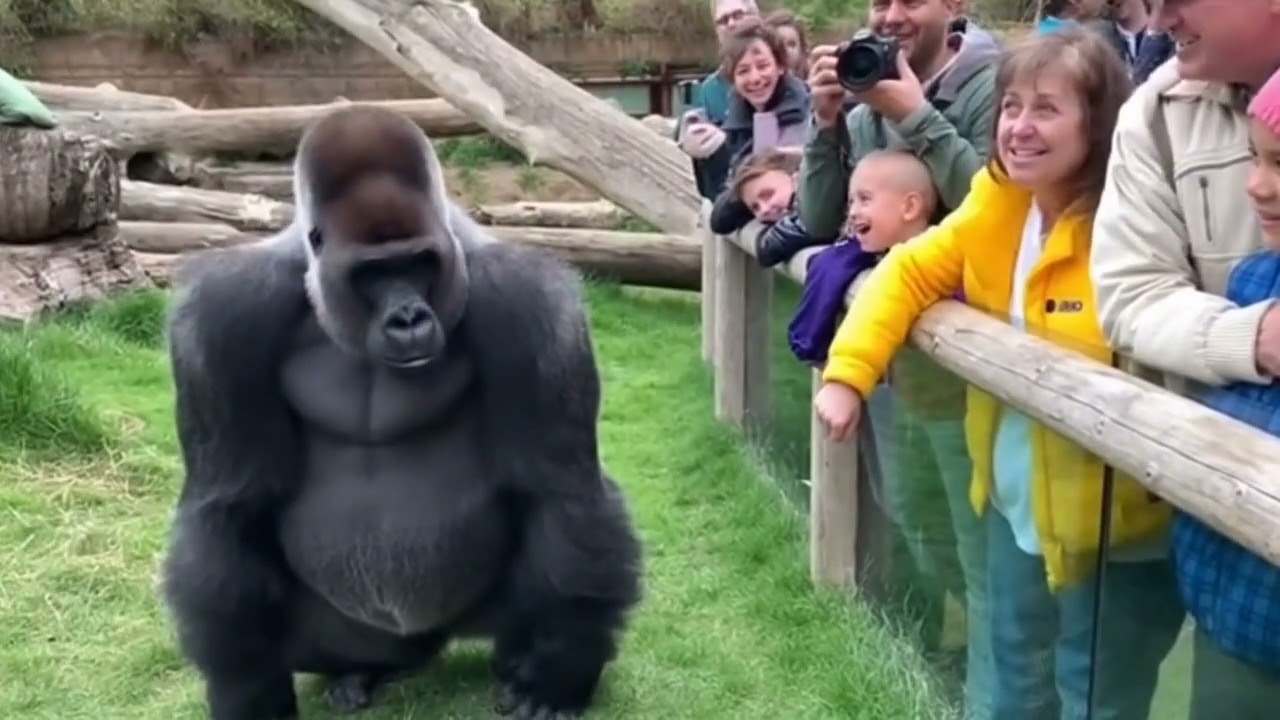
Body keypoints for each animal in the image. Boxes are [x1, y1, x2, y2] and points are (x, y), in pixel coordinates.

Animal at [159, 104, 644, 720]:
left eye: (418, 263)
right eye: (372, 272)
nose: (408, 319)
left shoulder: (530, 300)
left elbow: (561, 489)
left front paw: (561, 670)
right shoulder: (223, 314)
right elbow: (227, 507)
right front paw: (246, 689)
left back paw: (524, 658)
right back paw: (357, 670)